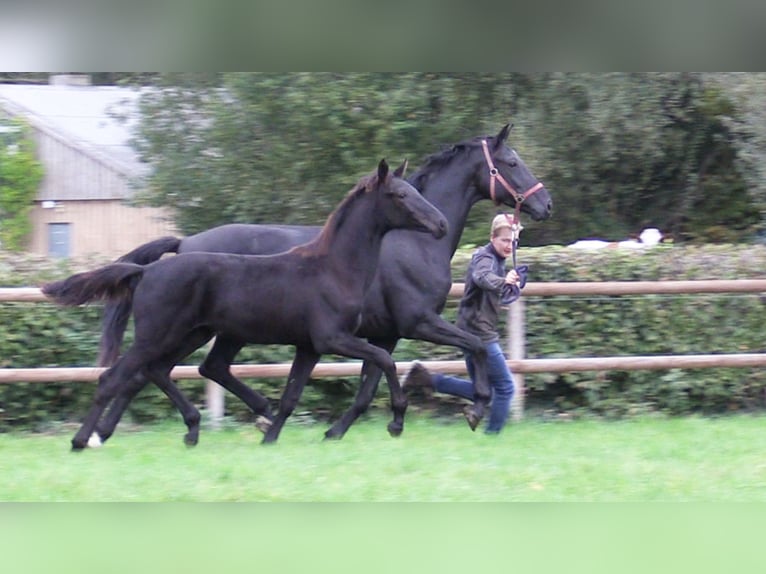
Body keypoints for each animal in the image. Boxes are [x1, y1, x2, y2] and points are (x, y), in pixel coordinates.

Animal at [43, 159, 448, 450]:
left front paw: (270, 436)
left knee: (159, 371)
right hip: (157, 334)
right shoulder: (333, 338)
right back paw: (82, 440)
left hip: (192, 334)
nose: (441, 224)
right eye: (400, 195)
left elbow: (292, 394)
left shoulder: (309, 346)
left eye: (414, 189)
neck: (333, 267)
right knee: (116, 378)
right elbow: (385, 360)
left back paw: (192, 430)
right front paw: (396, 421)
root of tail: (145, 271)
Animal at [94, 124, 552, 445]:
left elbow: (368, 388)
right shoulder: (417, 322)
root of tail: (184, 243)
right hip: (206, 330)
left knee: (176, 370)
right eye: (512, 162)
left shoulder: (384, 336)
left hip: (210, 331)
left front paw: (338, 431)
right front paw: (475, 408)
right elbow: (475, 345)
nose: (545, 204)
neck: (411, 243)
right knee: (165, 369)